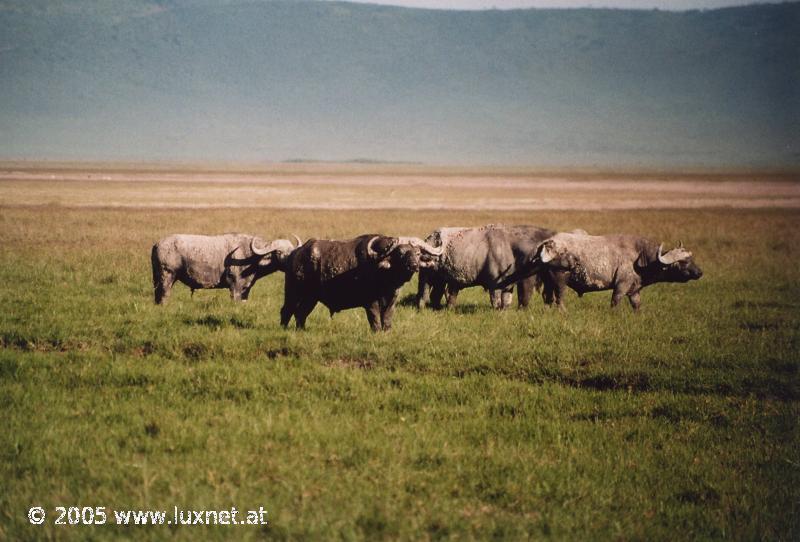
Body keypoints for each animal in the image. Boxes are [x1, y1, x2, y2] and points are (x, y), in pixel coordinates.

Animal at [280, 237, 444, 334]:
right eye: (400, 254)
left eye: (417, 253)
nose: (414, 266)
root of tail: (295, 253)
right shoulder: (370, 301)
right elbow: (375, 318)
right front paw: (377, 332)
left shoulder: (392, 299)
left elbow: (387, 317)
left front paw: (387, 332)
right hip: (293, 292)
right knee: (286, 310)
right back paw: (283, 328)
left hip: (311, 297)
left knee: (300, 313)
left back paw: (301, 330)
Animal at [418, 225, 556, 310]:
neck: (511, 249)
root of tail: (430, 238)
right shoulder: (494, 286)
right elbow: (496, 303)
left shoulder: (508, 286)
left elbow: (506, 302)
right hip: (427, 277)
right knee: (424, 293)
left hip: (440, 280)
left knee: (436, 295)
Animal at [510, 232, 704, 312]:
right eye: (683, 262)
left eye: (691, 258)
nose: (700, 272)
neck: (641, 257)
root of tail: (547, 243)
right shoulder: (621, 286)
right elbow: (615, 301)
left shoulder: (634, 290)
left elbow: (637, 305)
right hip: (560, 279)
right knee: (559, 297)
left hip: (548, 281)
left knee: (548, 298)